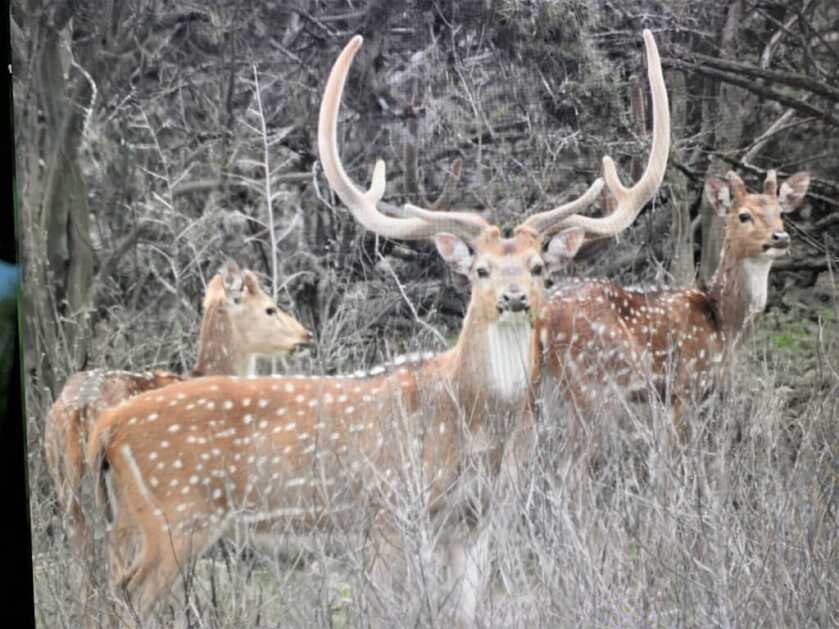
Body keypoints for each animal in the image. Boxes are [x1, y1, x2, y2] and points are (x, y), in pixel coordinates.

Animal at [86, 30, 668, 627]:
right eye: (480, 269)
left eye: (537, 268)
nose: (513, 298)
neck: (471, 423)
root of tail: (106, 430)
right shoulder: (389, 509)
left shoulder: (475, 521)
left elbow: (466, 612)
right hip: (176, 515)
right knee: (126, 596)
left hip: (136, 521)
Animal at [539, 169, 810, 450]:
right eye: (744, 215)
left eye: (781, 213)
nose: (780, 237)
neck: (723, 323)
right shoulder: (686, 383)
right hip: (588, 381)